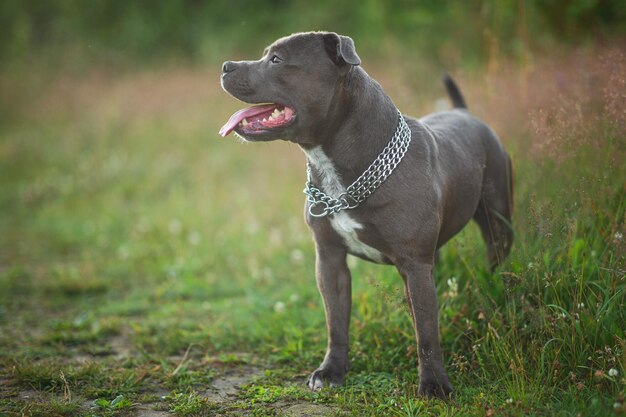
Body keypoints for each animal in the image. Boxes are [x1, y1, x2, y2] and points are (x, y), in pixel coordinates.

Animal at [219, 31, 512, 396]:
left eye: (277, 60)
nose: (225, 65)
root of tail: (464, 112)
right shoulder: (330, 260)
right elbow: (336, 322)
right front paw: (331, 371)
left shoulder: (414, 265)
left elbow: (426, 332)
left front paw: (434, 384)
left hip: (497, 222)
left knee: (495, 255)